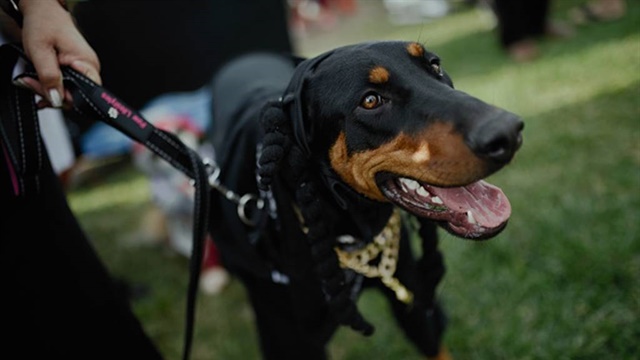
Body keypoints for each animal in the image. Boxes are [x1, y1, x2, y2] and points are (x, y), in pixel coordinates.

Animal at [208, 40, 524, 358]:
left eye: (434, 65)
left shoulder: (414, 303)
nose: (508, 132)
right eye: (371, 101)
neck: (349, 227)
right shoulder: (288, 339)